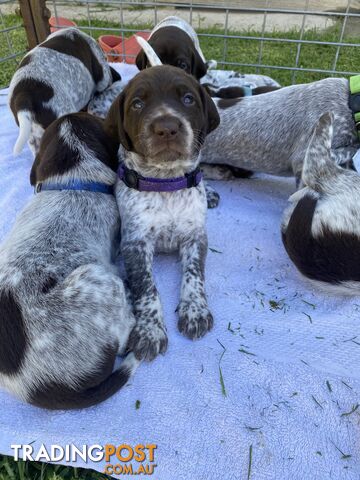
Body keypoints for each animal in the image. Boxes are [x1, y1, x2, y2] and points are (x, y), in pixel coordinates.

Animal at [105, 65, 221, 362]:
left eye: (188, 99)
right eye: (137, 104)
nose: (166, 128)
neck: (166, 182)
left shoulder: (195, 237)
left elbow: (194, 275)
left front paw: (195, 311)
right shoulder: (135, 244)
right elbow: (146, 287)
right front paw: (149, 331)